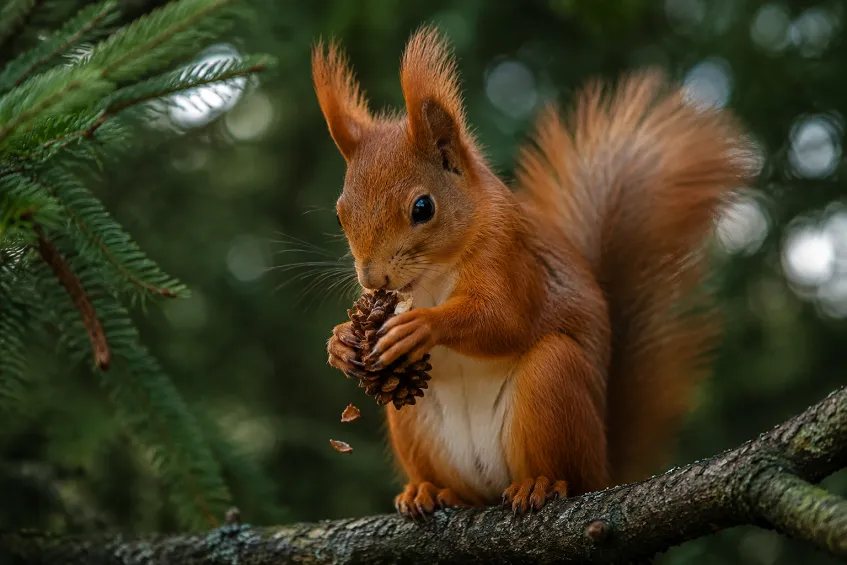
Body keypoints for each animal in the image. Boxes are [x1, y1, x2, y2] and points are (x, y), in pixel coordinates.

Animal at [315, 26, 755, 518]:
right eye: (339, 215)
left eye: (423, 208)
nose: (373, 280)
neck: (432, 277)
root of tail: (604, 466)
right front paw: (341, 342)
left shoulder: (511, 258)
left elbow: (503, 319)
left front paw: (421, 326)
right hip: (412, 420)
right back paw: (428, 492)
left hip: (554, 382)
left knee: (563, 465)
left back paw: (539, 485)